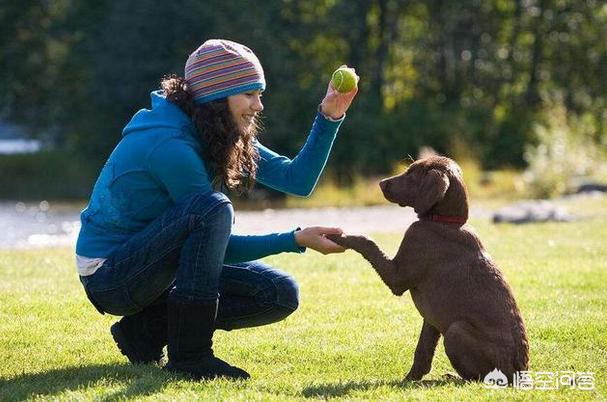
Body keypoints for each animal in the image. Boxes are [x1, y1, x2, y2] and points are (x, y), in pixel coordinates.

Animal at [328, 155, 528, 382]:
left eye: (411, 174)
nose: (380, 183)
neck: (445, 222)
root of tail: (520, 373)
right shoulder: (431, 318)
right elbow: (423, 350)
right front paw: (411, 378)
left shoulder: (397, 277)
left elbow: (367, 242)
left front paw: (339, 236)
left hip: (455, 330)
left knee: (477, 378)